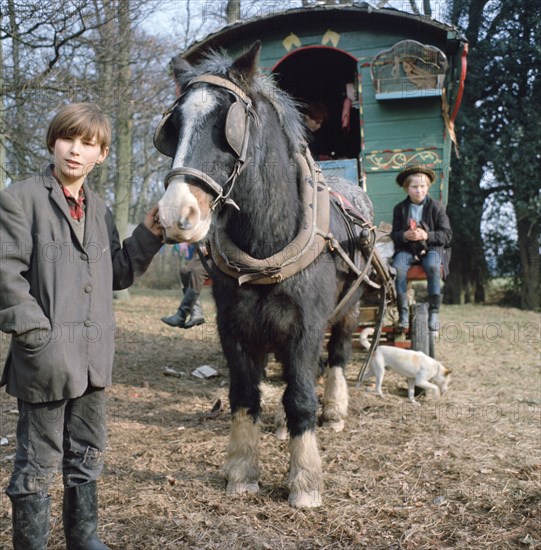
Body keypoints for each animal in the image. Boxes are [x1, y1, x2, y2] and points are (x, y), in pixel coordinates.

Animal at [154, 42, 378, 508]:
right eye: (174, 126)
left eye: (227, 125)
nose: (174, 215)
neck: (266, 244)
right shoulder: (234, 327)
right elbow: (244, 395)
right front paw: (242, 471)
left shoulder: (306, 325)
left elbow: (302, 397)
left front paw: (305, 481)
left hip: (350, 306)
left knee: (337, 356)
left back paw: (335, 410)